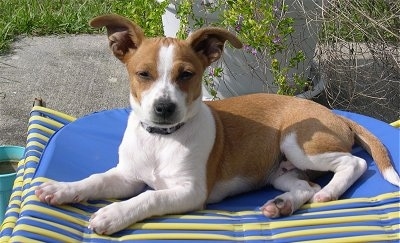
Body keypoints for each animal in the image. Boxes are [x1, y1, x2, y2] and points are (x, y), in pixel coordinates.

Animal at [35, 14, 400, 234]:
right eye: (143, 74)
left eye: (187, 75)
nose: (164, 108)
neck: (162, 139)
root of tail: (336, 115)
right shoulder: (126, 175)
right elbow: (95, 179)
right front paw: (62, 189)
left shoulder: (190, 191)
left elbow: (148, 198)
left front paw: (113, 214)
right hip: (280, 171)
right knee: (304, 186)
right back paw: (282, 205)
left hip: (297, 142)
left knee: (352, 163)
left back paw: (330, 192)